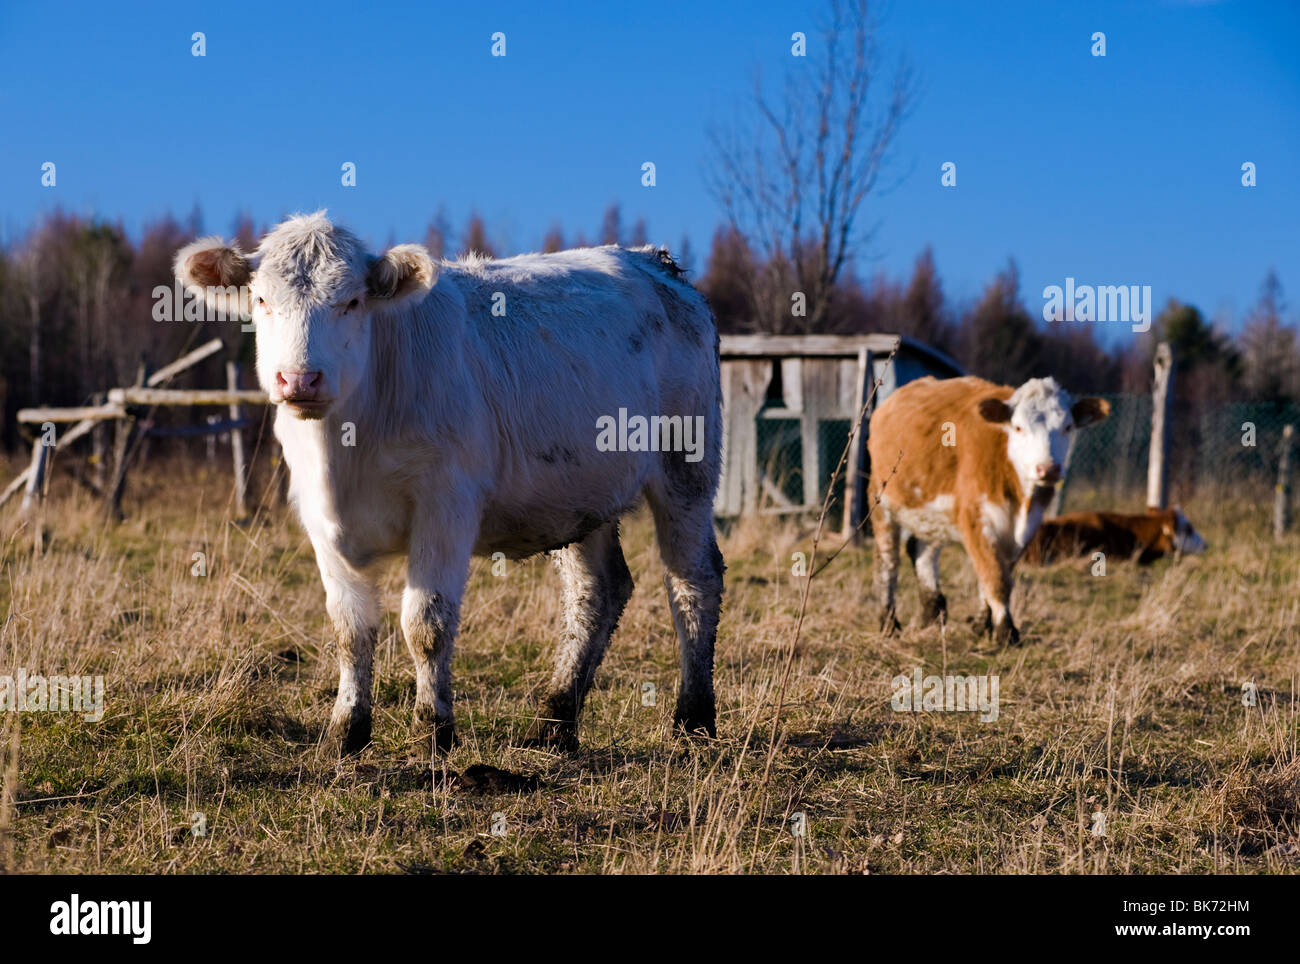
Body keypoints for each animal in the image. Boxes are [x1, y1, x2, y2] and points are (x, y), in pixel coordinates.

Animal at [171, 211, 722, 753]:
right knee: (597, 591)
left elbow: (425, 623)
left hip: (686, 466)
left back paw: (692, 719)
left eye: (352, 301)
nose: (301, 379)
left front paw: (434, 729)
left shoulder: (446, 505)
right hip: (582, 495)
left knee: (693, 579)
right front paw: (346, 730)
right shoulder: (319, 518)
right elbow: (351, 629)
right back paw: (554, 723)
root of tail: (653, 260)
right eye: (262, 300)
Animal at [873, 376, 1107, 641]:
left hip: (932, 515)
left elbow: (998, 572)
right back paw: (888, 622)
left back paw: (931, 614)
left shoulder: (1027, 527)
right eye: (1018, 427)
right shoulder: (976, 518)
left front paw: (981, 624)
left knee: (922, 551)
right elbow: (995, 576)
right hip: (883, 501)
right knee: (888, 561)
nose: (1048, 469)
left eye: (1067, 427)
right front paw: (1006, 631)